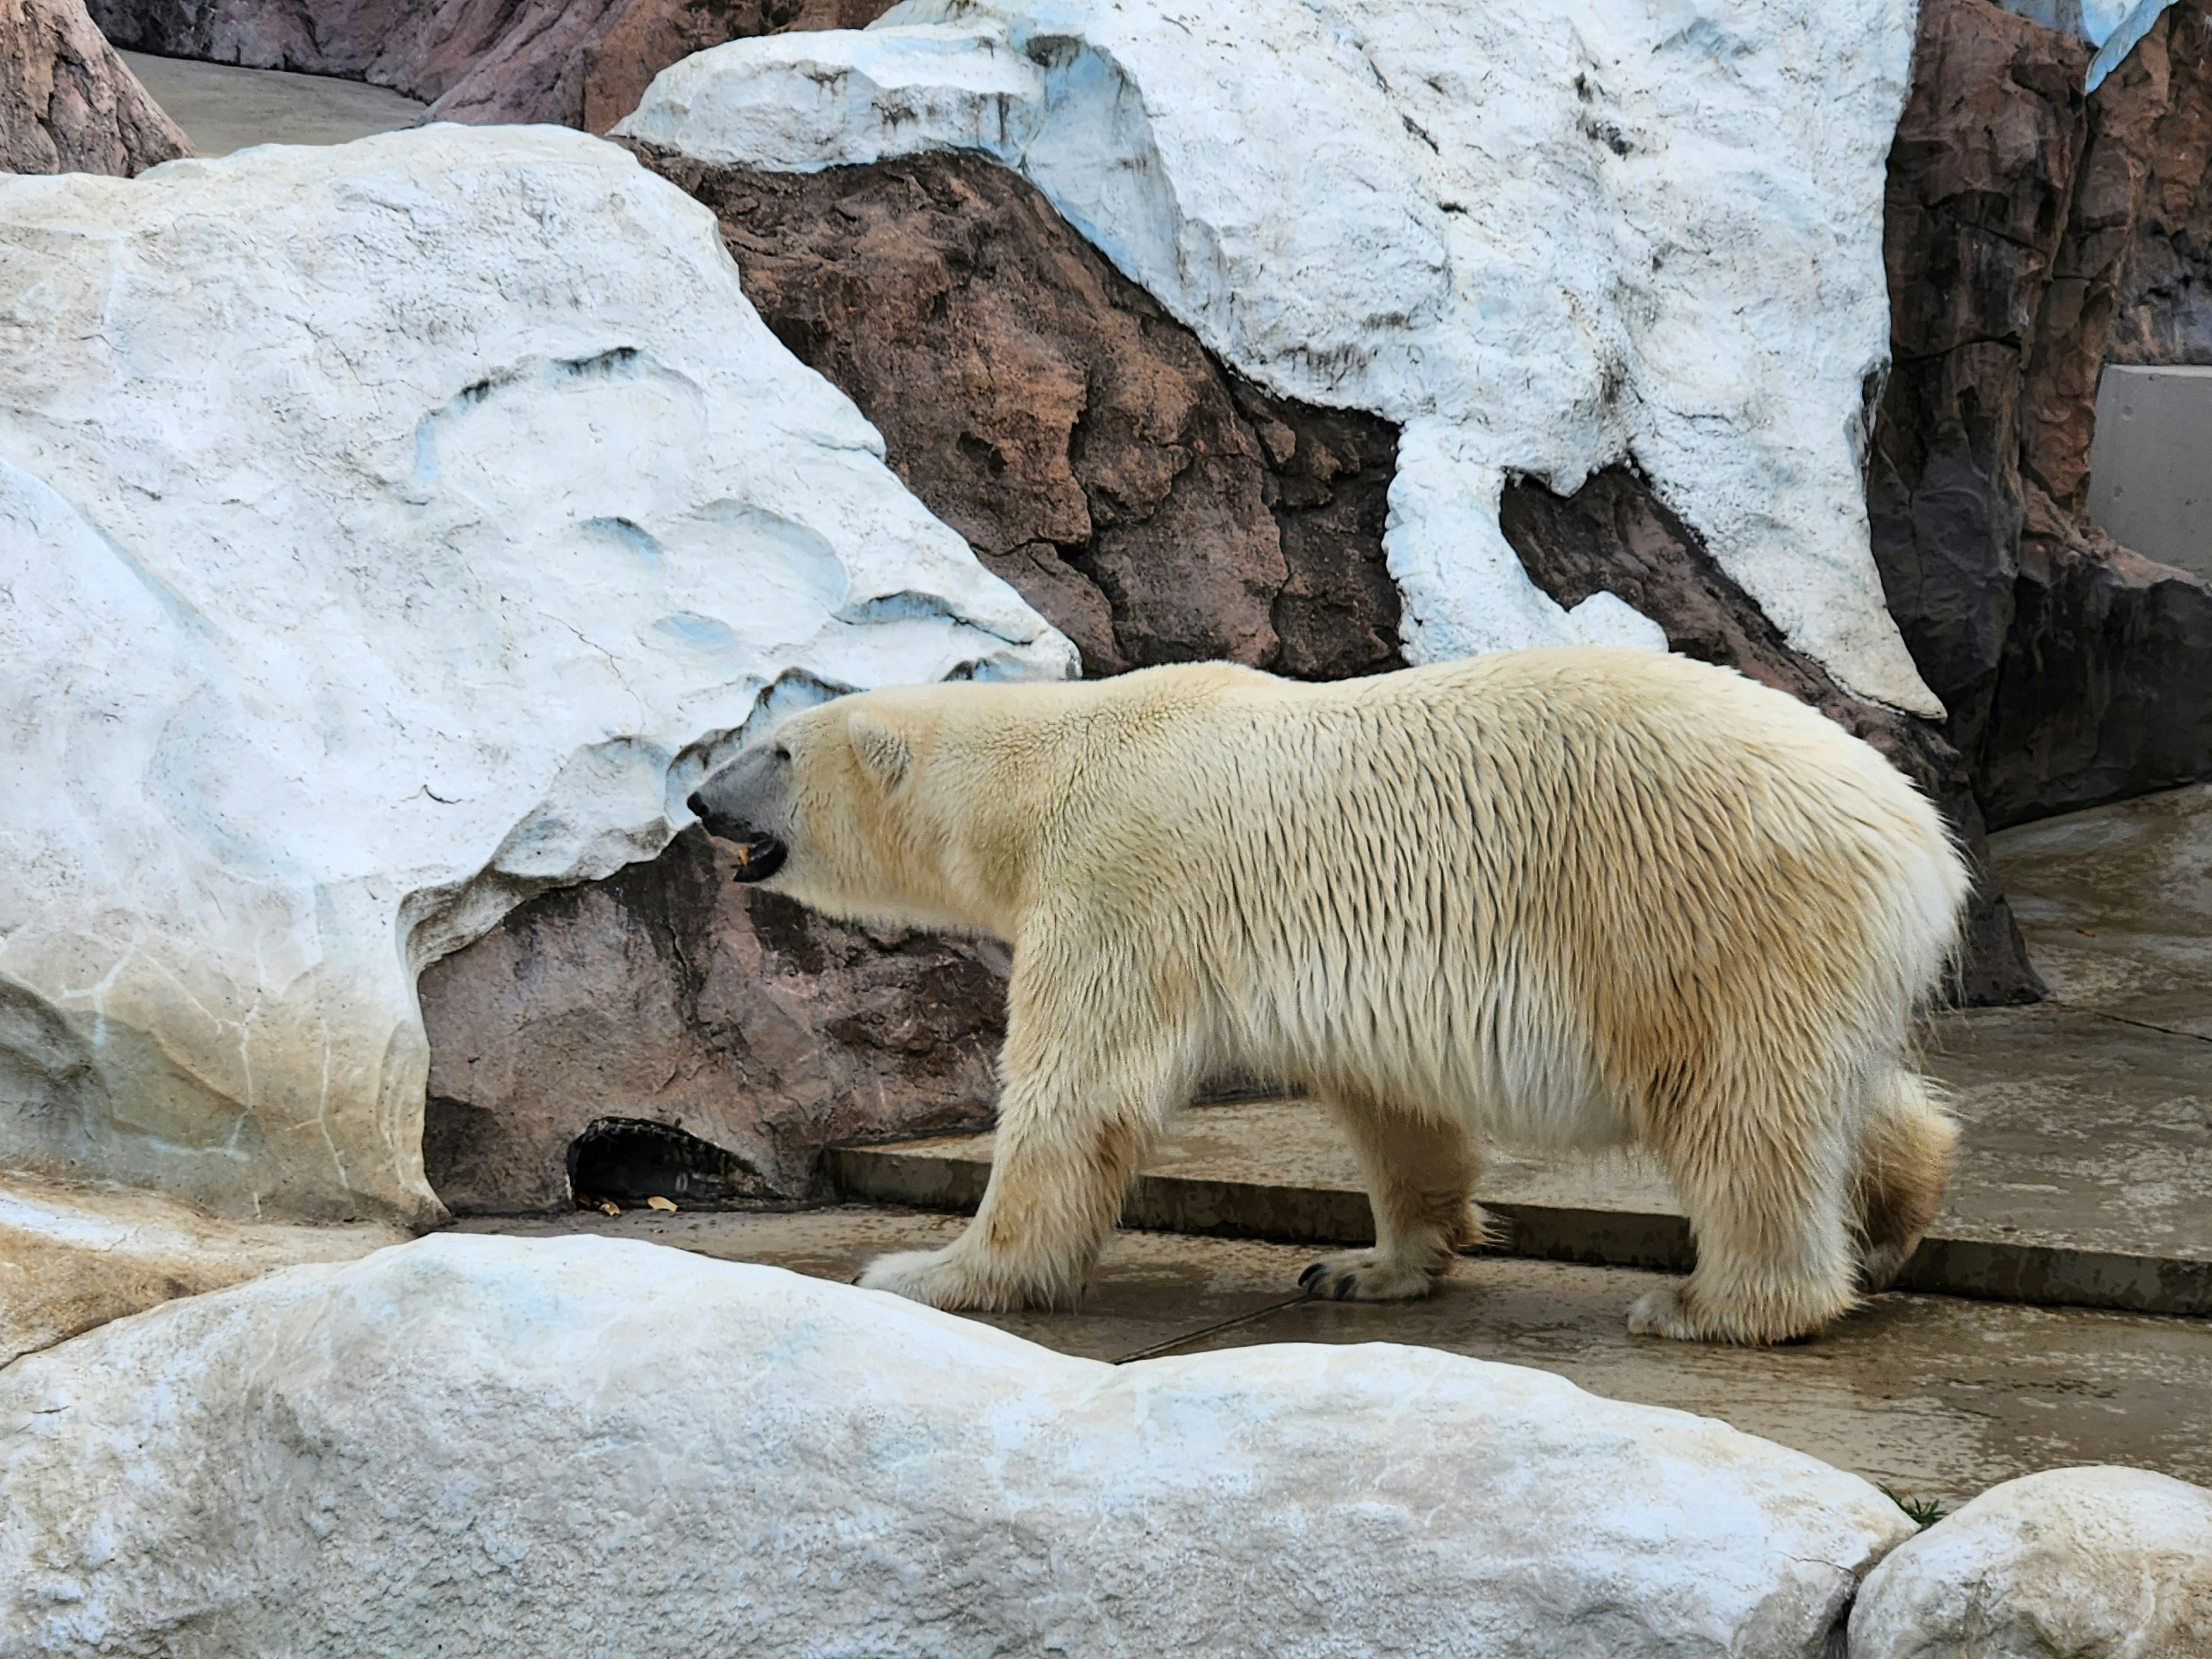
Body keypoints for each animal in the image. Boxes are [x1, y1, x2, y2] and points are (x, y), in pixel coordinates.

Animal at [686, 645, 1968, 1344]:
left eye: (777, 749)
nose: (698, 801)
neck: (1054, 761)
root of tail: (1917, 839)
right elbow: (1396, 1111)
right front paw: (1369, 1265)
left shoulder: (1121, 876)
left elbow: (1076, 1094)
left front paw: (929, 1274)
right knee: (1835, 1088)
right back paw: (1894, 1216)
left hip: (1692, 904)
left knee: (1734, 1107)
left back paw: (1718, 1304)